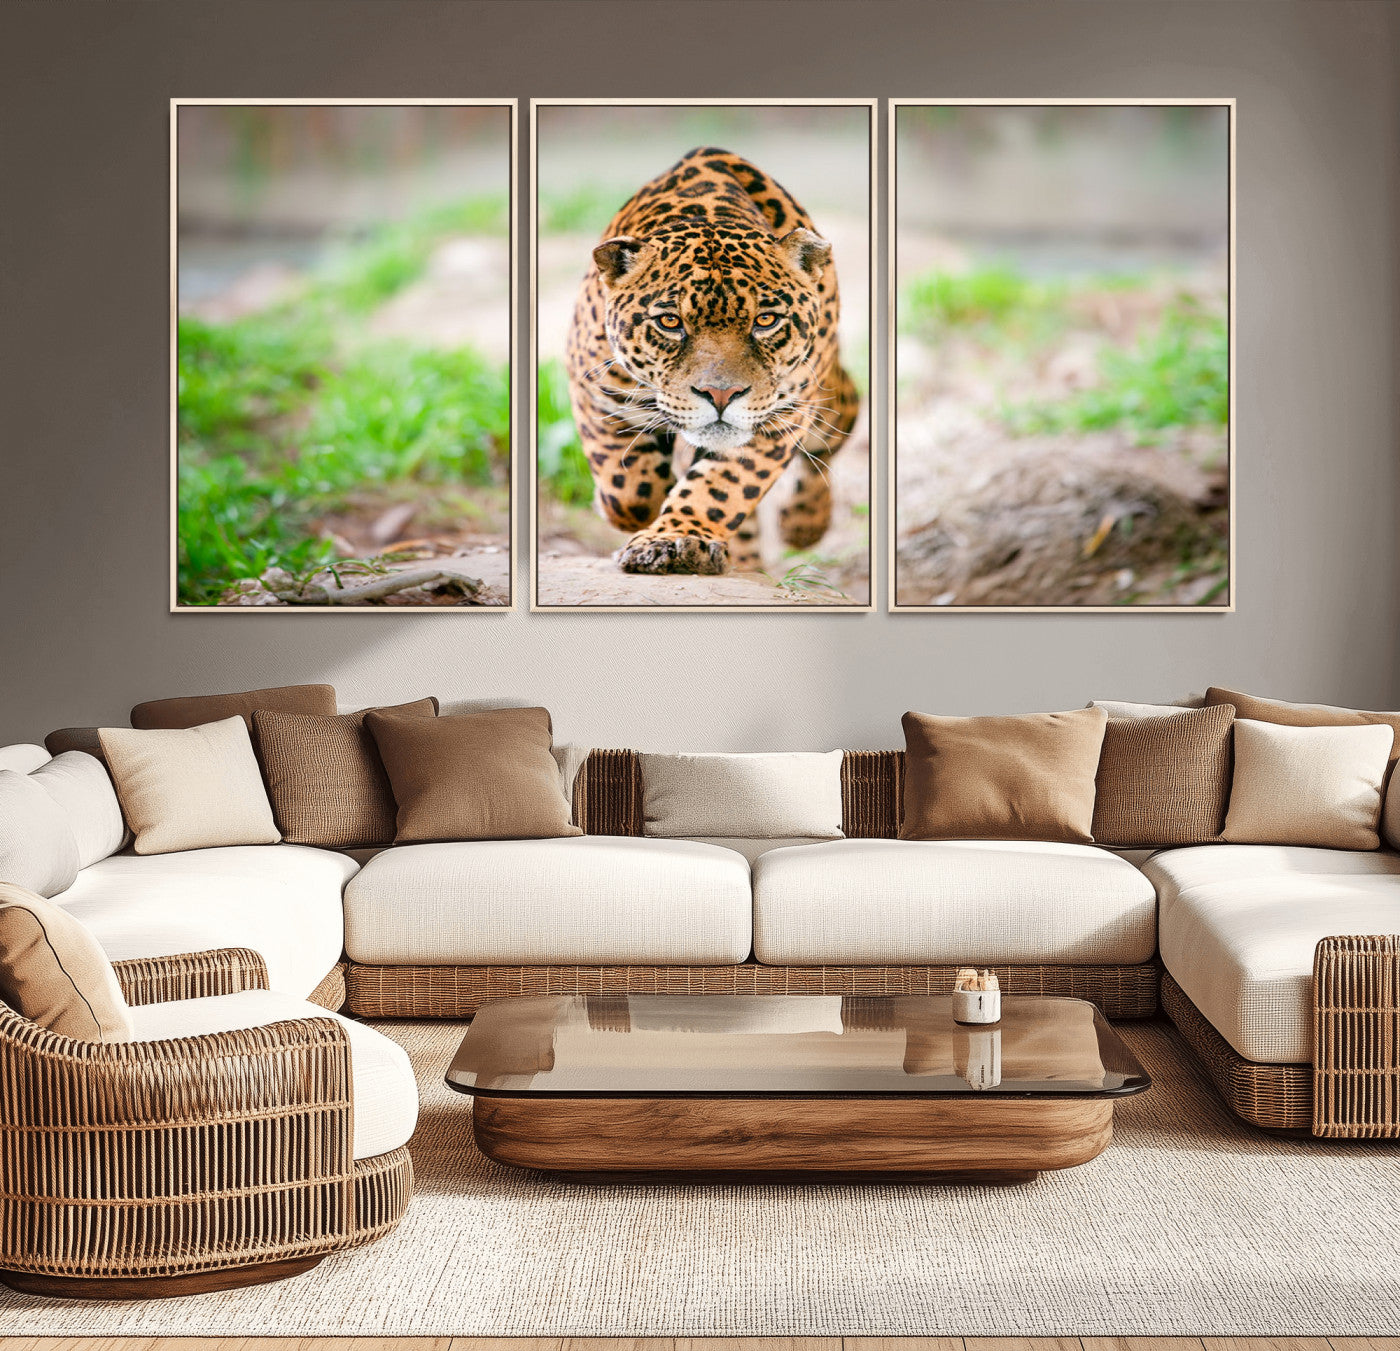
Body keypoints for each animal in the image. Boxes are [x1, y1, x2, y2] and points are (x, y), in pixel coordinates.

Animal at [563, 146, 860, 575]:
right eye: (670, 322)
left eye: (765, 320)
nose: (721, 395)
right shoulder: (596, 390)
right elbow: (628, 489)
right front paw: (638, 510)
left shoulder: (780, 418)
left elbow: (723, 486)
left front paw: (675, 539)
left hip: (825, 398)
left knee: (833, 433)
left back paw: (804, 524)